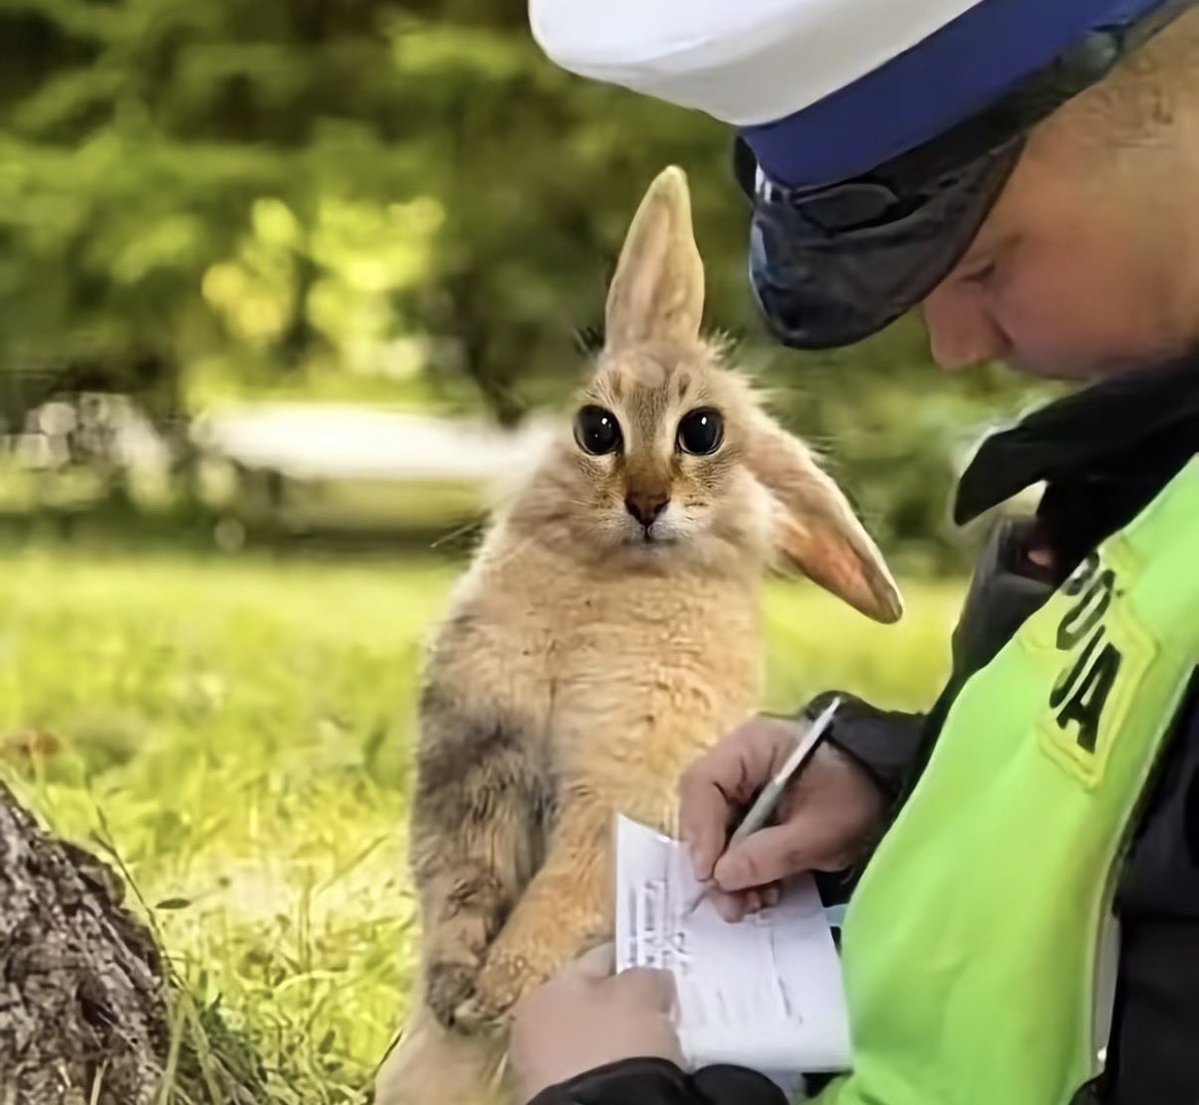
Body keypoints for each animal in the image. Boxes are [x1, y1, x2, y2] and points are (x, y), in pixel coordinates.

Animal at [374, 165, 902, 1105]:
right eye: (595, 429)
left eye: (703, 431)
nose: (646, 501)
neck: (614, 581)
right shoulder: (480, 755)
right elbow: (462, 875)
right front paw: (456, 992)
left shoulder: (629, 781)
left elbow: (571, 882)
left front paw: (497, 993)